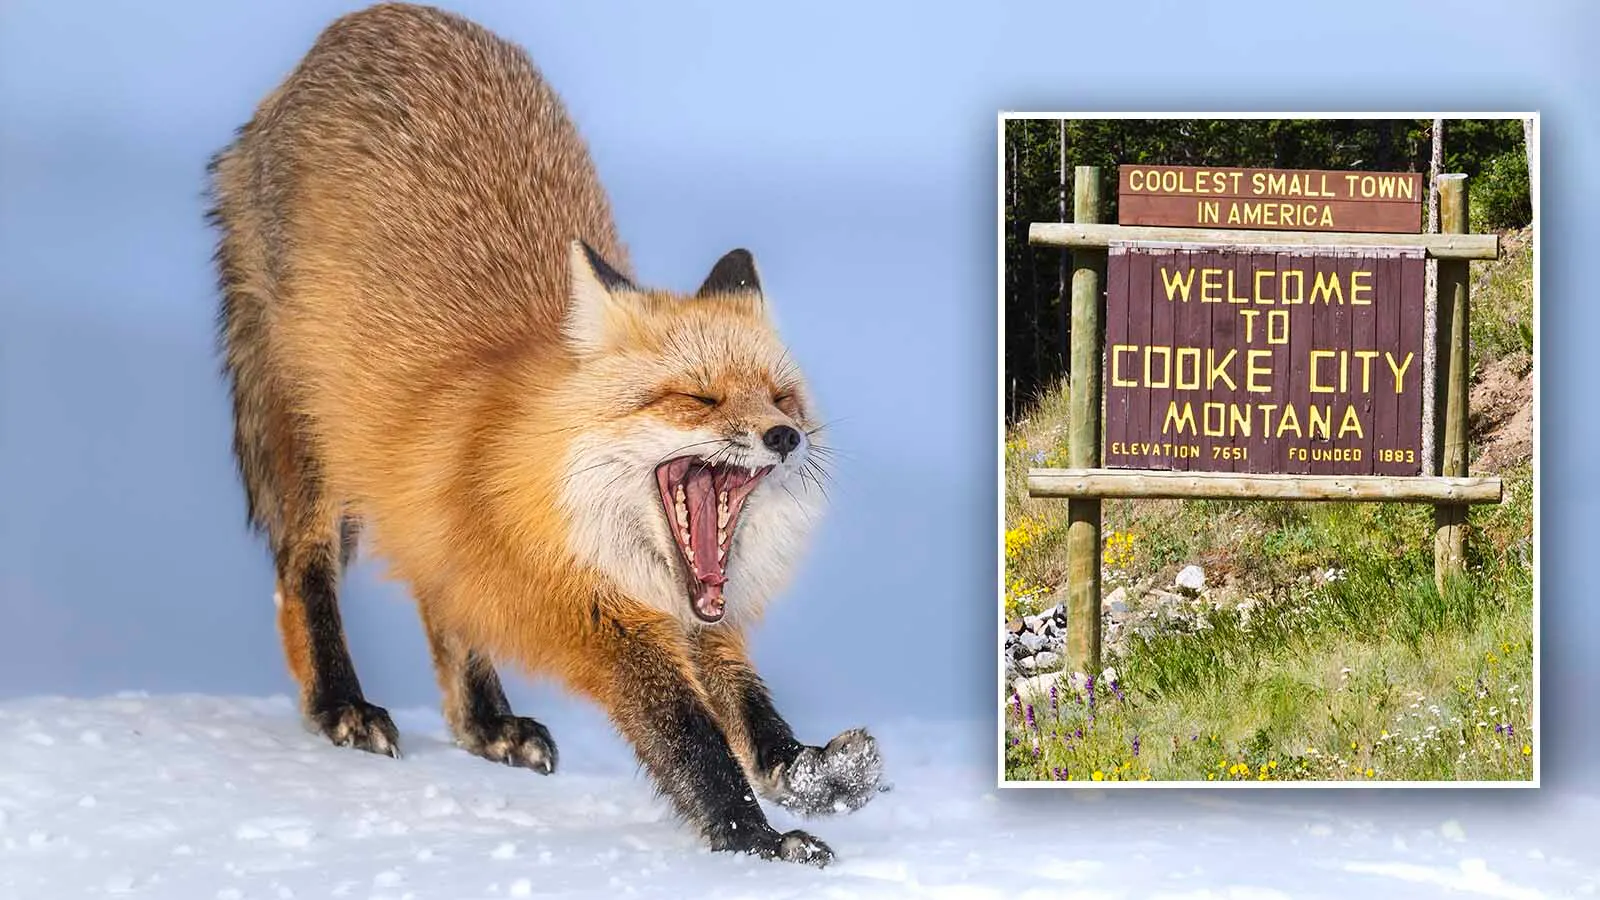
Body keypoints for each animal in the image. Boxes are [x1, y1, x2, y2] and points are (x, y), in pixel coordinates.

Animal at [205, 2, 881, 866]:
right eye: (698, 397)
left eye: (782, 397)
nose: (785, 437)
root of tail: (364, 24)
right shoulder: (600, 623)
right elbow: (692, 739)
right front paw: (758, 842)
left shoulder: (696, 615)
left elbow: (751, 710)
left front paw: (806, 772)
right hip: (314, 438)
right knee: (302, 570)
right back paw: (339, 704)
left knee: (441, 598)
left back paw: (485, 722)